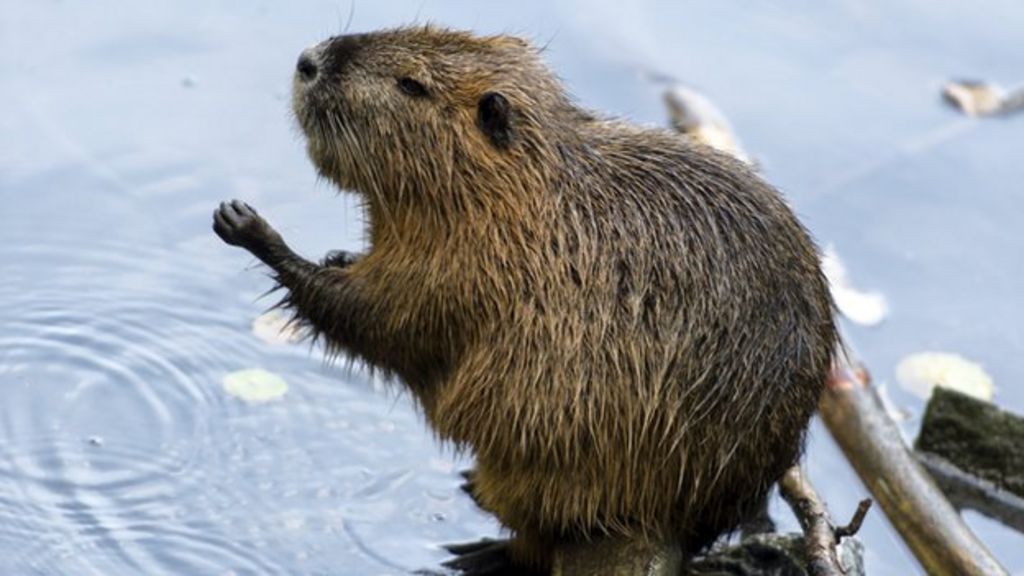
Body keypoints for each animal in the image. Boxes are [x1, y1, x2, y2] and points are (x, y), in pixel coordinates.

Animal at [211, 25, 835, 569]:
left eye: (411, 84)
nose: (309, 61)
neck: (521, 198)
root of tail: (672, 535)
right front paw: (336, 254)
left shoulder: (467, 268)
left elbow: (381, 322)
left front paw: (248, 226)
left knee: (535, 538)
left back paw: (477, 551)